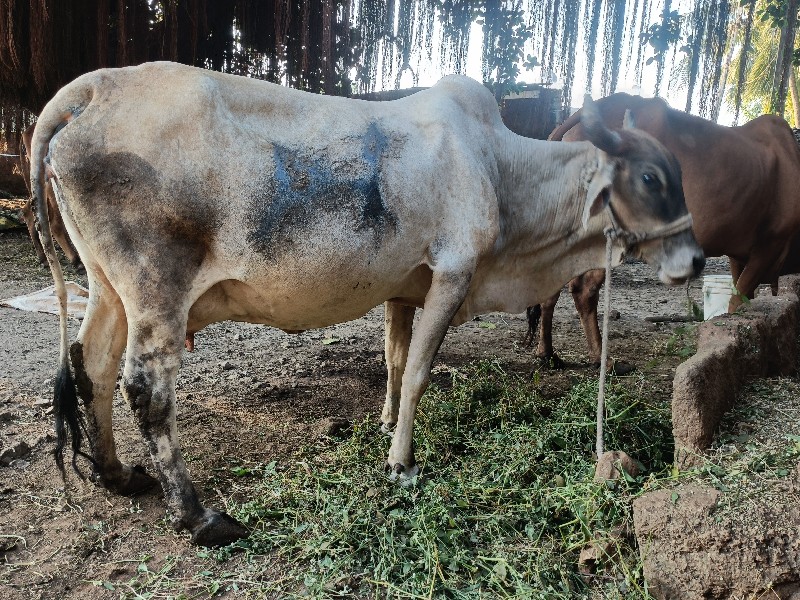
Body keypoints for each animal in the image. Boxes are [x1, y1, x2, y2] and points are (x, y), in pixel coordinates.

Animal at [31, 62, 704, 548]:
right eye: (650, 177)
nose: (696, 260)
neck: (497, 165)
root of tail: (92, 88)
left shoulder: (404, 289)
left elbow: (394, 360)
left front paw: (382, 423)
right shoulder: (453, 273)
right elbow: (419, 372)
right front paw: (401, 462)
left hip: (108, 288)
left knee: (91, 367)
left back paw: (117, 475)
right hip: (156, 290)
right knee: (145, 389)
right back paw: (200, 516)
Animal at [532, 93, 800, 366]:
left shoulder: (739, 254)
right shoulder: (768, 246)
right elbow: (737, 302)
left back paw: (548, 353)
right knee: (584, 291)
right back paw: (602, 359)